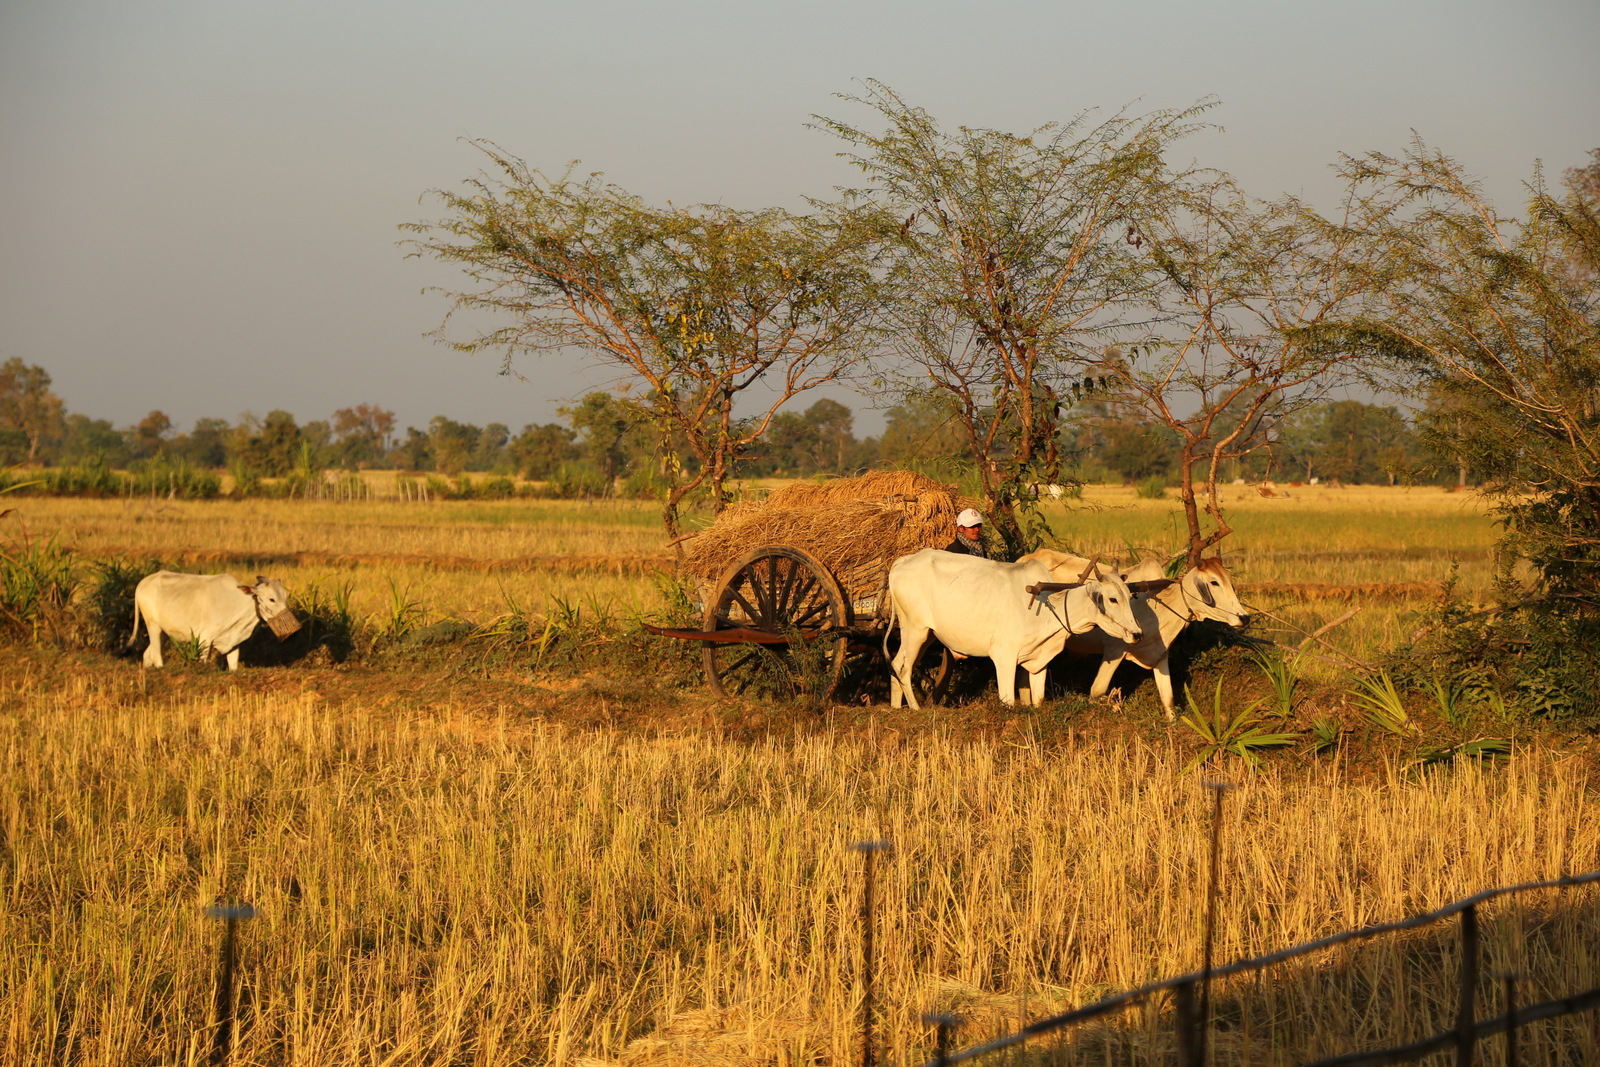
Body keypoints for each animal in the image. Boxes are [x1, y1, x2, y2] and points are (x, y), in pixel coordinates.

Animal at [130, 571, 299, 670]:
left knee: (147, 654)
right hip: (153, 626)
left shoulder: (233, 643)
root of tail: (142, 583)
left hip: (164, 633)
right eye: (272, 599)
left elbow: (233, 665)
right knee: (157, 655)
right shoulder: (204, 639)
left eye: (286, 597)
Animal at [883, 549, 1142, 709]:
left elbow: (1037, 700)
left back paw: (896, 708)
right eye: (1112, 599)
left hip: (924, 634)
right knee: (903, 669)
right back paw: (915, 709)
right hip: (914, 630)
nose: (1137, 634)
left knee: (896, 665)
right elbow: (1007, 701)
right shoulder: (1004, 657)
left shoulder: (1039, 661)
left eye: (1129, 596)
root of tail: (900, 563)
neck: (1046, 607)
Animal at [1058, 556, 1250, 721]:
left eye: (1229, 581)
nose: (1244, 617)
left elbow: (1168, 698)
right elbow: (1097, 690)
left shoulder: (1160, 654)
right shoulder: (1114, 650)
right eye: (1214, 582)